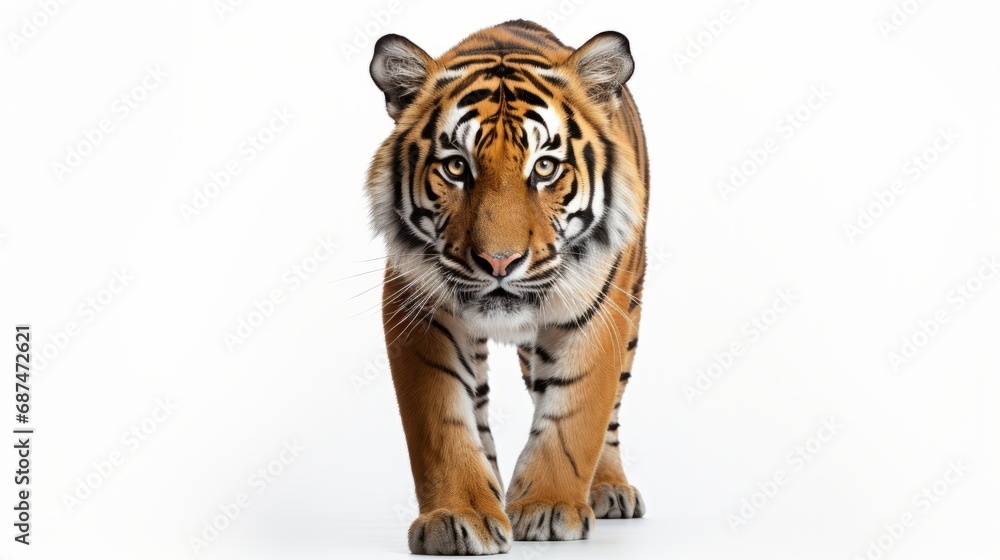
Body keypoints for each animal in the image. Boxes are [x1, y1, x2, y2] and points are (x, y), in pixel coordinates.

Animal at [366, 19, 650, 555]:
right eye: (456, 167)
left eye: (545, 167)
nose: (499, 261)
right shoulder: (418, 307)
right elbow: (444, 422)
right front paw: (458, 516)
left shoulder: (598, 312)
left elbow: (576, 414)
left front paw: (548, 506)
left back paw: (609, 489)